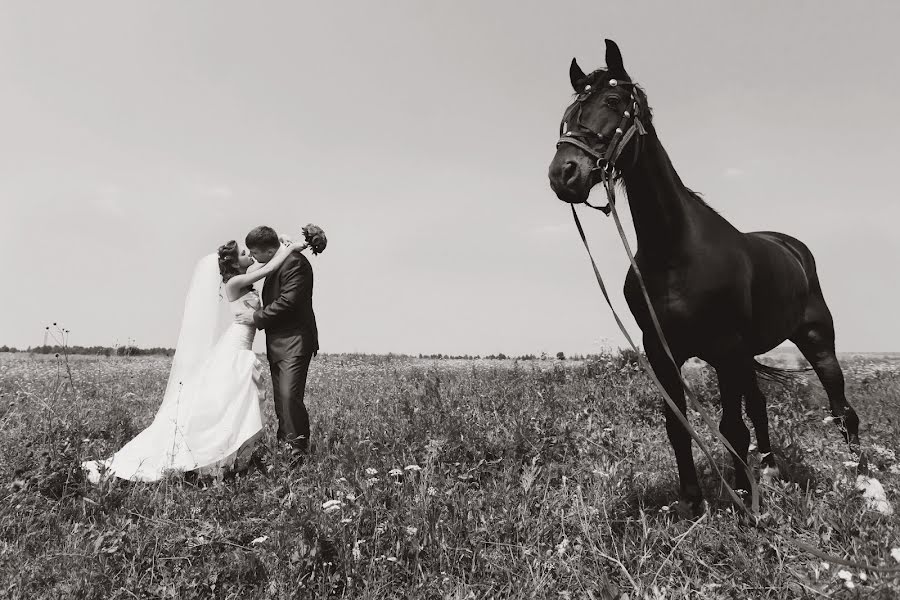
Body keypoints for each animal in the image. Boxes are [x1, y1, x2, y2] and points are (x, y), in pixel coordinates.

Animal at [544, 38, 860, 516]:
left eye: (613, 102)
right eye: (567, 111)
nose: (564, 173)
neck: (675, 251)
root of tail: (793, 248)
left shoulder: (727, 348)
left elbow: (732, 429)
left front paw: (745, 505)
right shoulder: (663, 351)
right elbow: (679, 428)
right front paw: (693, 503)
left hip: (816, 340)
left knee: (842, 410)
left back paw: (861, 476)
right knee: (762, 406)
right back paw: (770, 470)